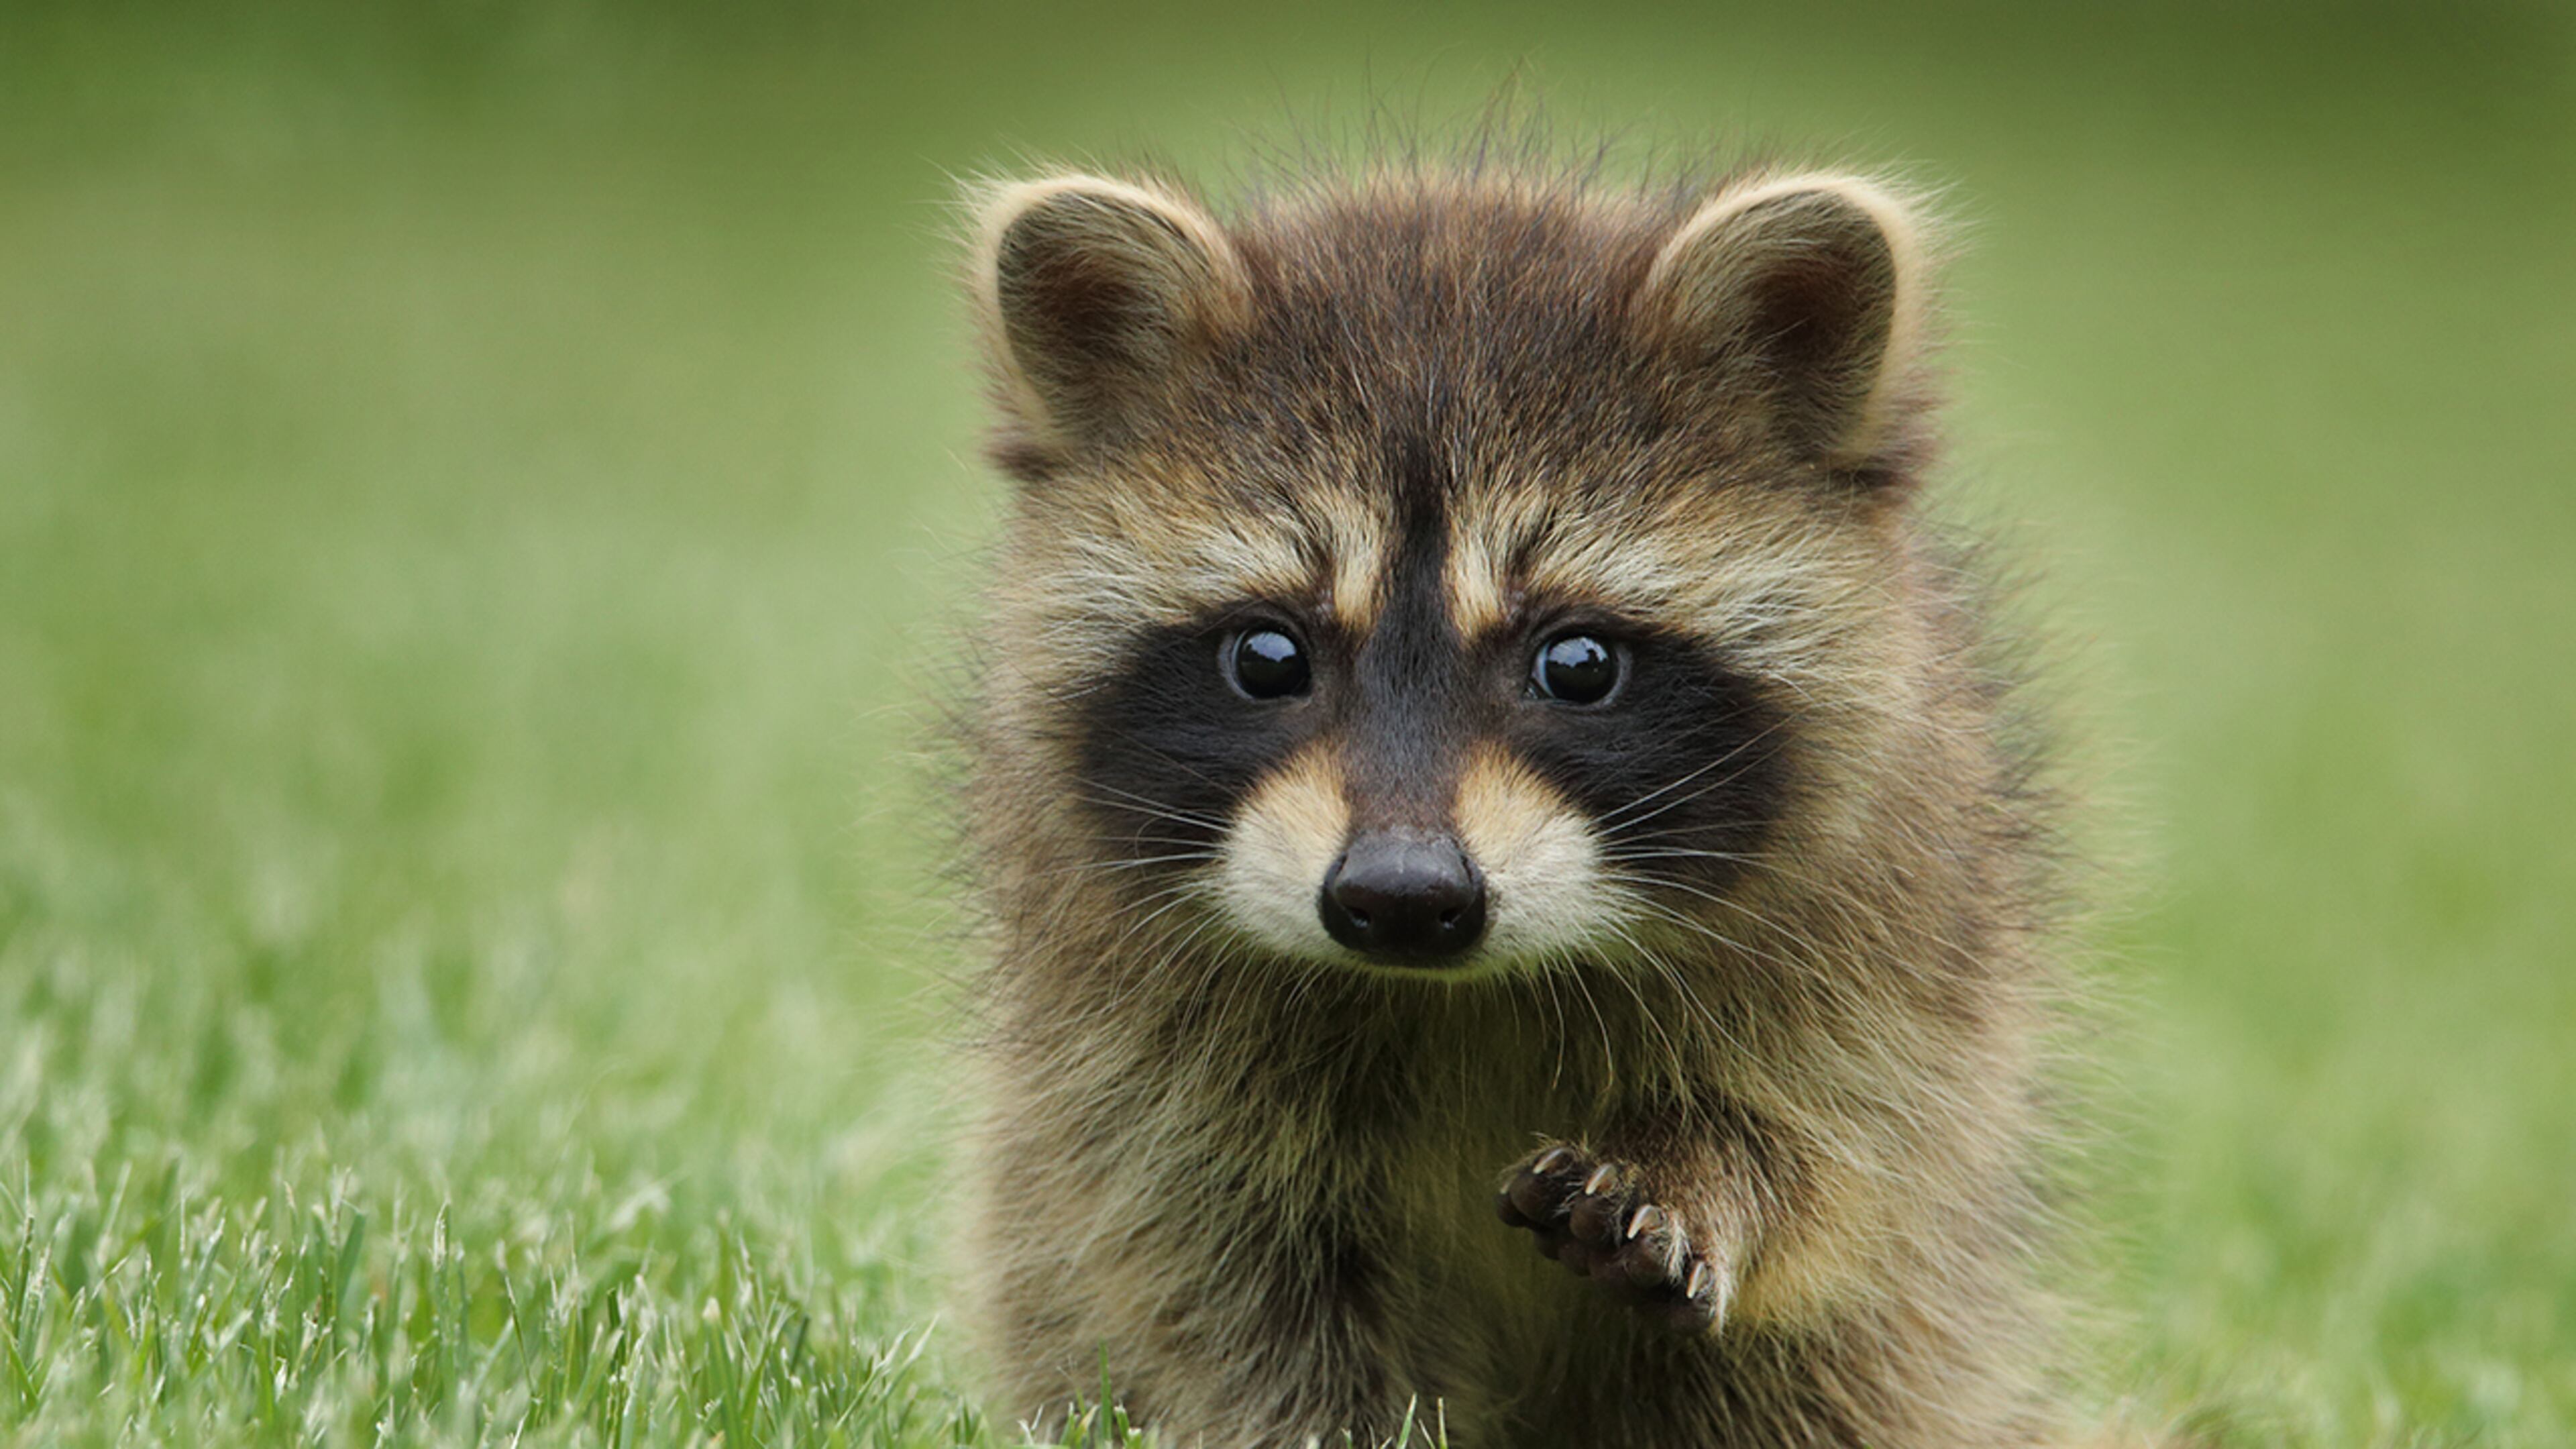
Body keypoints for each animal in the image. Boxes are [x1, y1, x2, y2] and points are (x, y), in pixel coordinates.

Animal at [953, 153, 2075, 1449]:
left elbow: (1842, 1154)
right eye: (1268, 658)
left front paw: (1703, 1173)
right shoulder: (1127, 1044)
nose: (1400, 896)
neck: (1456, 993)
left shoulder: (1890, 935)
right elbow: (1223, 1283)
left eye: (1577, 665)